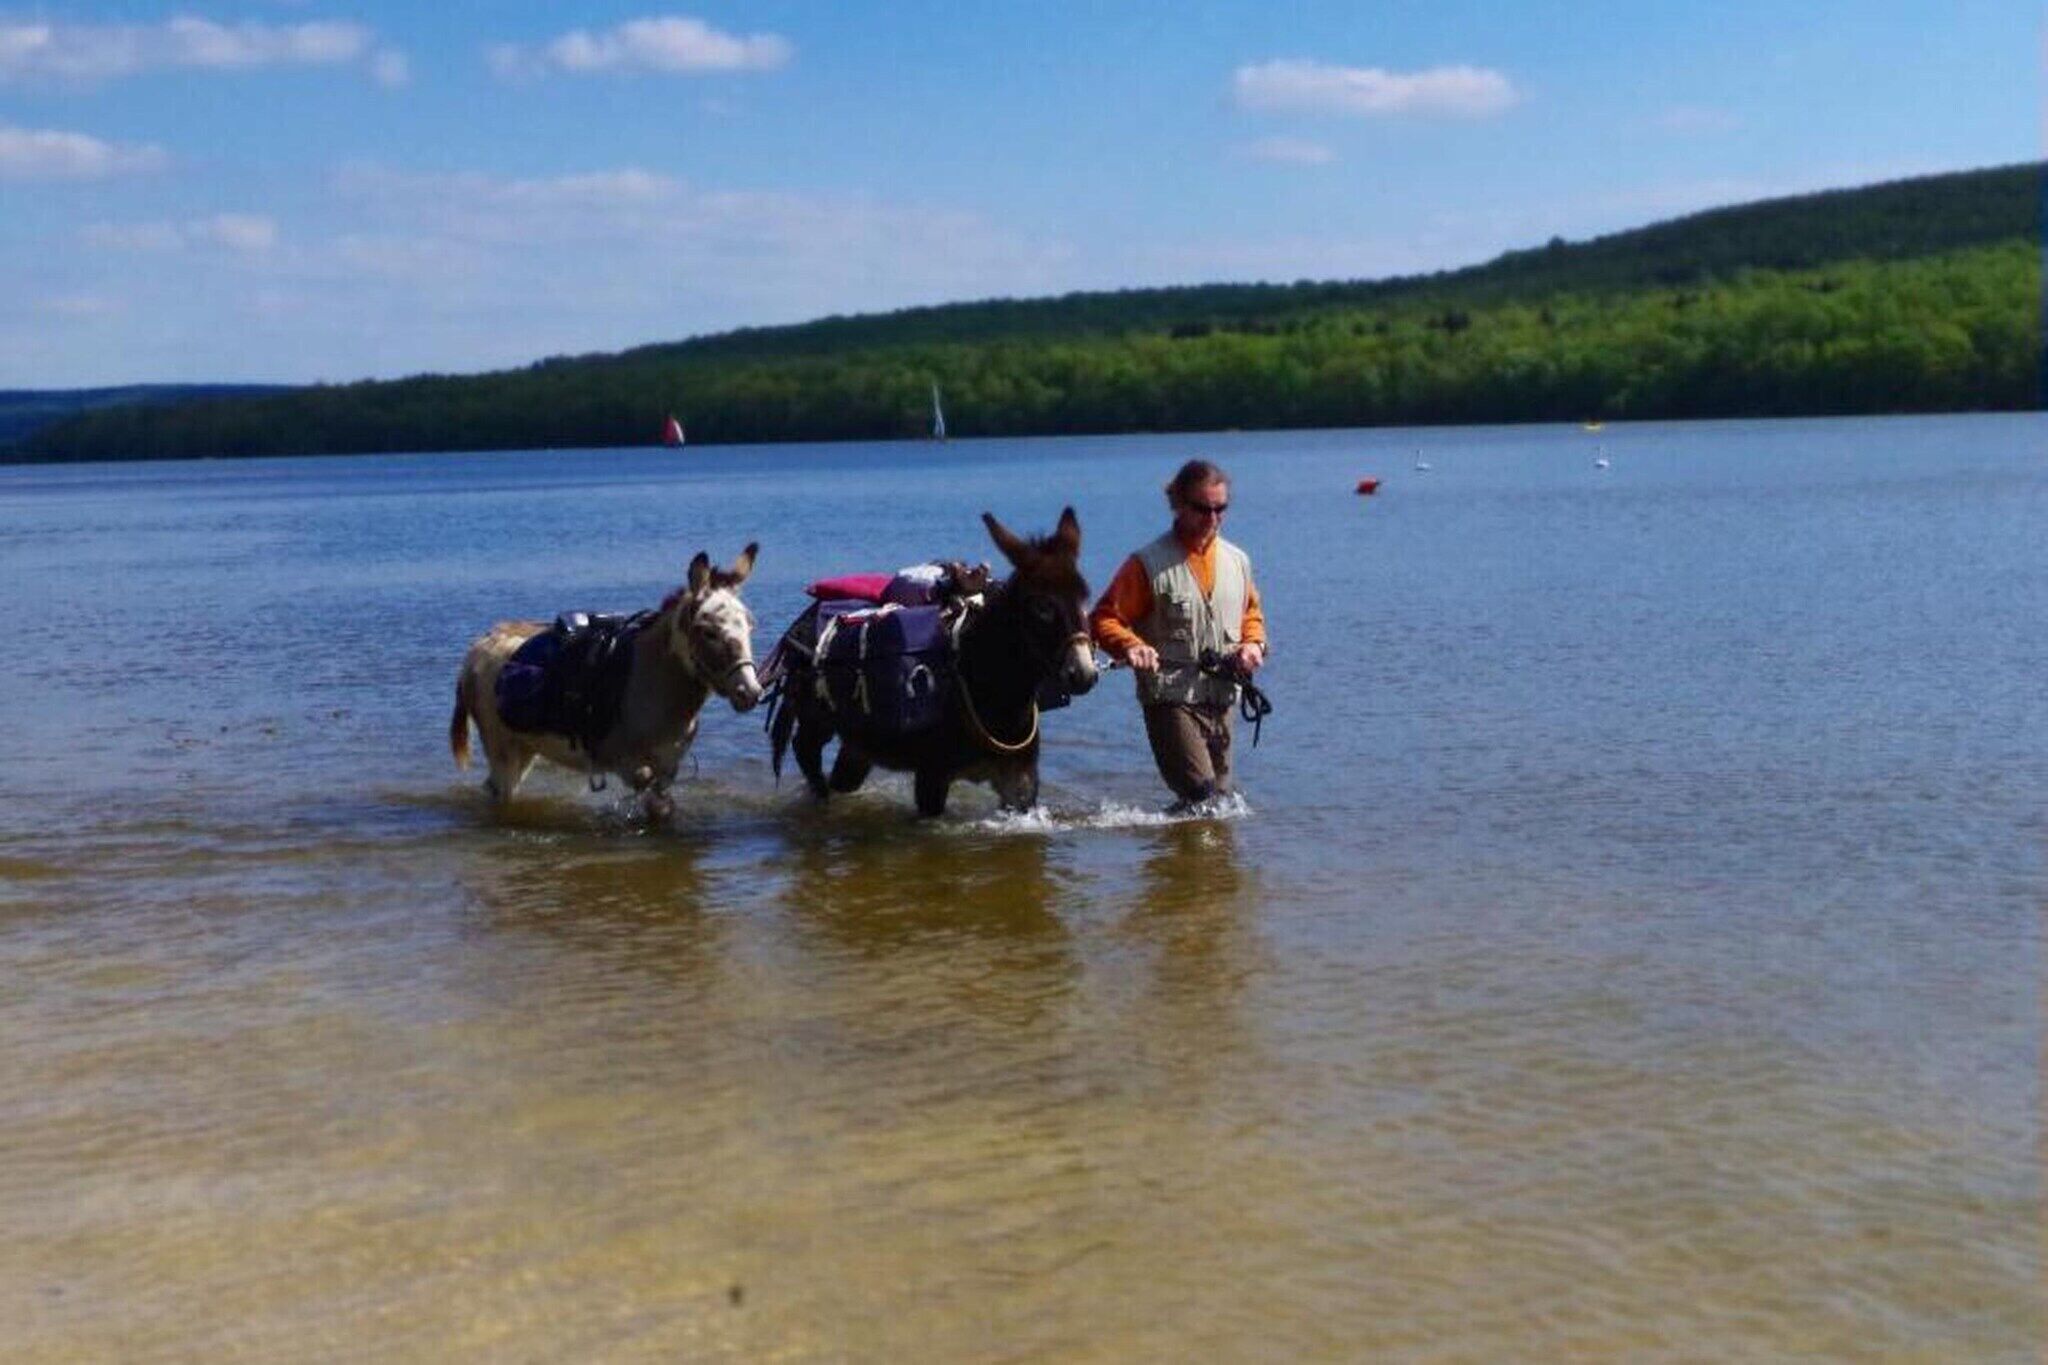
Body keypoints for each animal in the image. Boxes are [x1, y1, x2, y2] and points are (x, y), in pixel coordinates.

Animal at [450, 545, 761, 817]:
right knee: (500, 789)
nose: (751, 691)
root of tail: (481, 644)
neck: (654, 680)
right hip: (503, 750)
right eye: (708, 631)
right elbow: (647, 789)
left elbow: (662, 806)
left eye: (750, 626)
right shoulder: (625, 763)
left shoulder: (668, 766)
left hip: (527, 747)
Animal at [768, 508, 1097, 817]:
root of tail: (803, 620)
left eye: (1085, 596)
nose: (1084, 673)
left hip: (860, 742)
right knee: (806, 754)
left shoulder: (1020, 782)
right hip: (817, 720)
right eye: (1041, 606)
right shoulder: (932, 776)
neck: (992, 691)